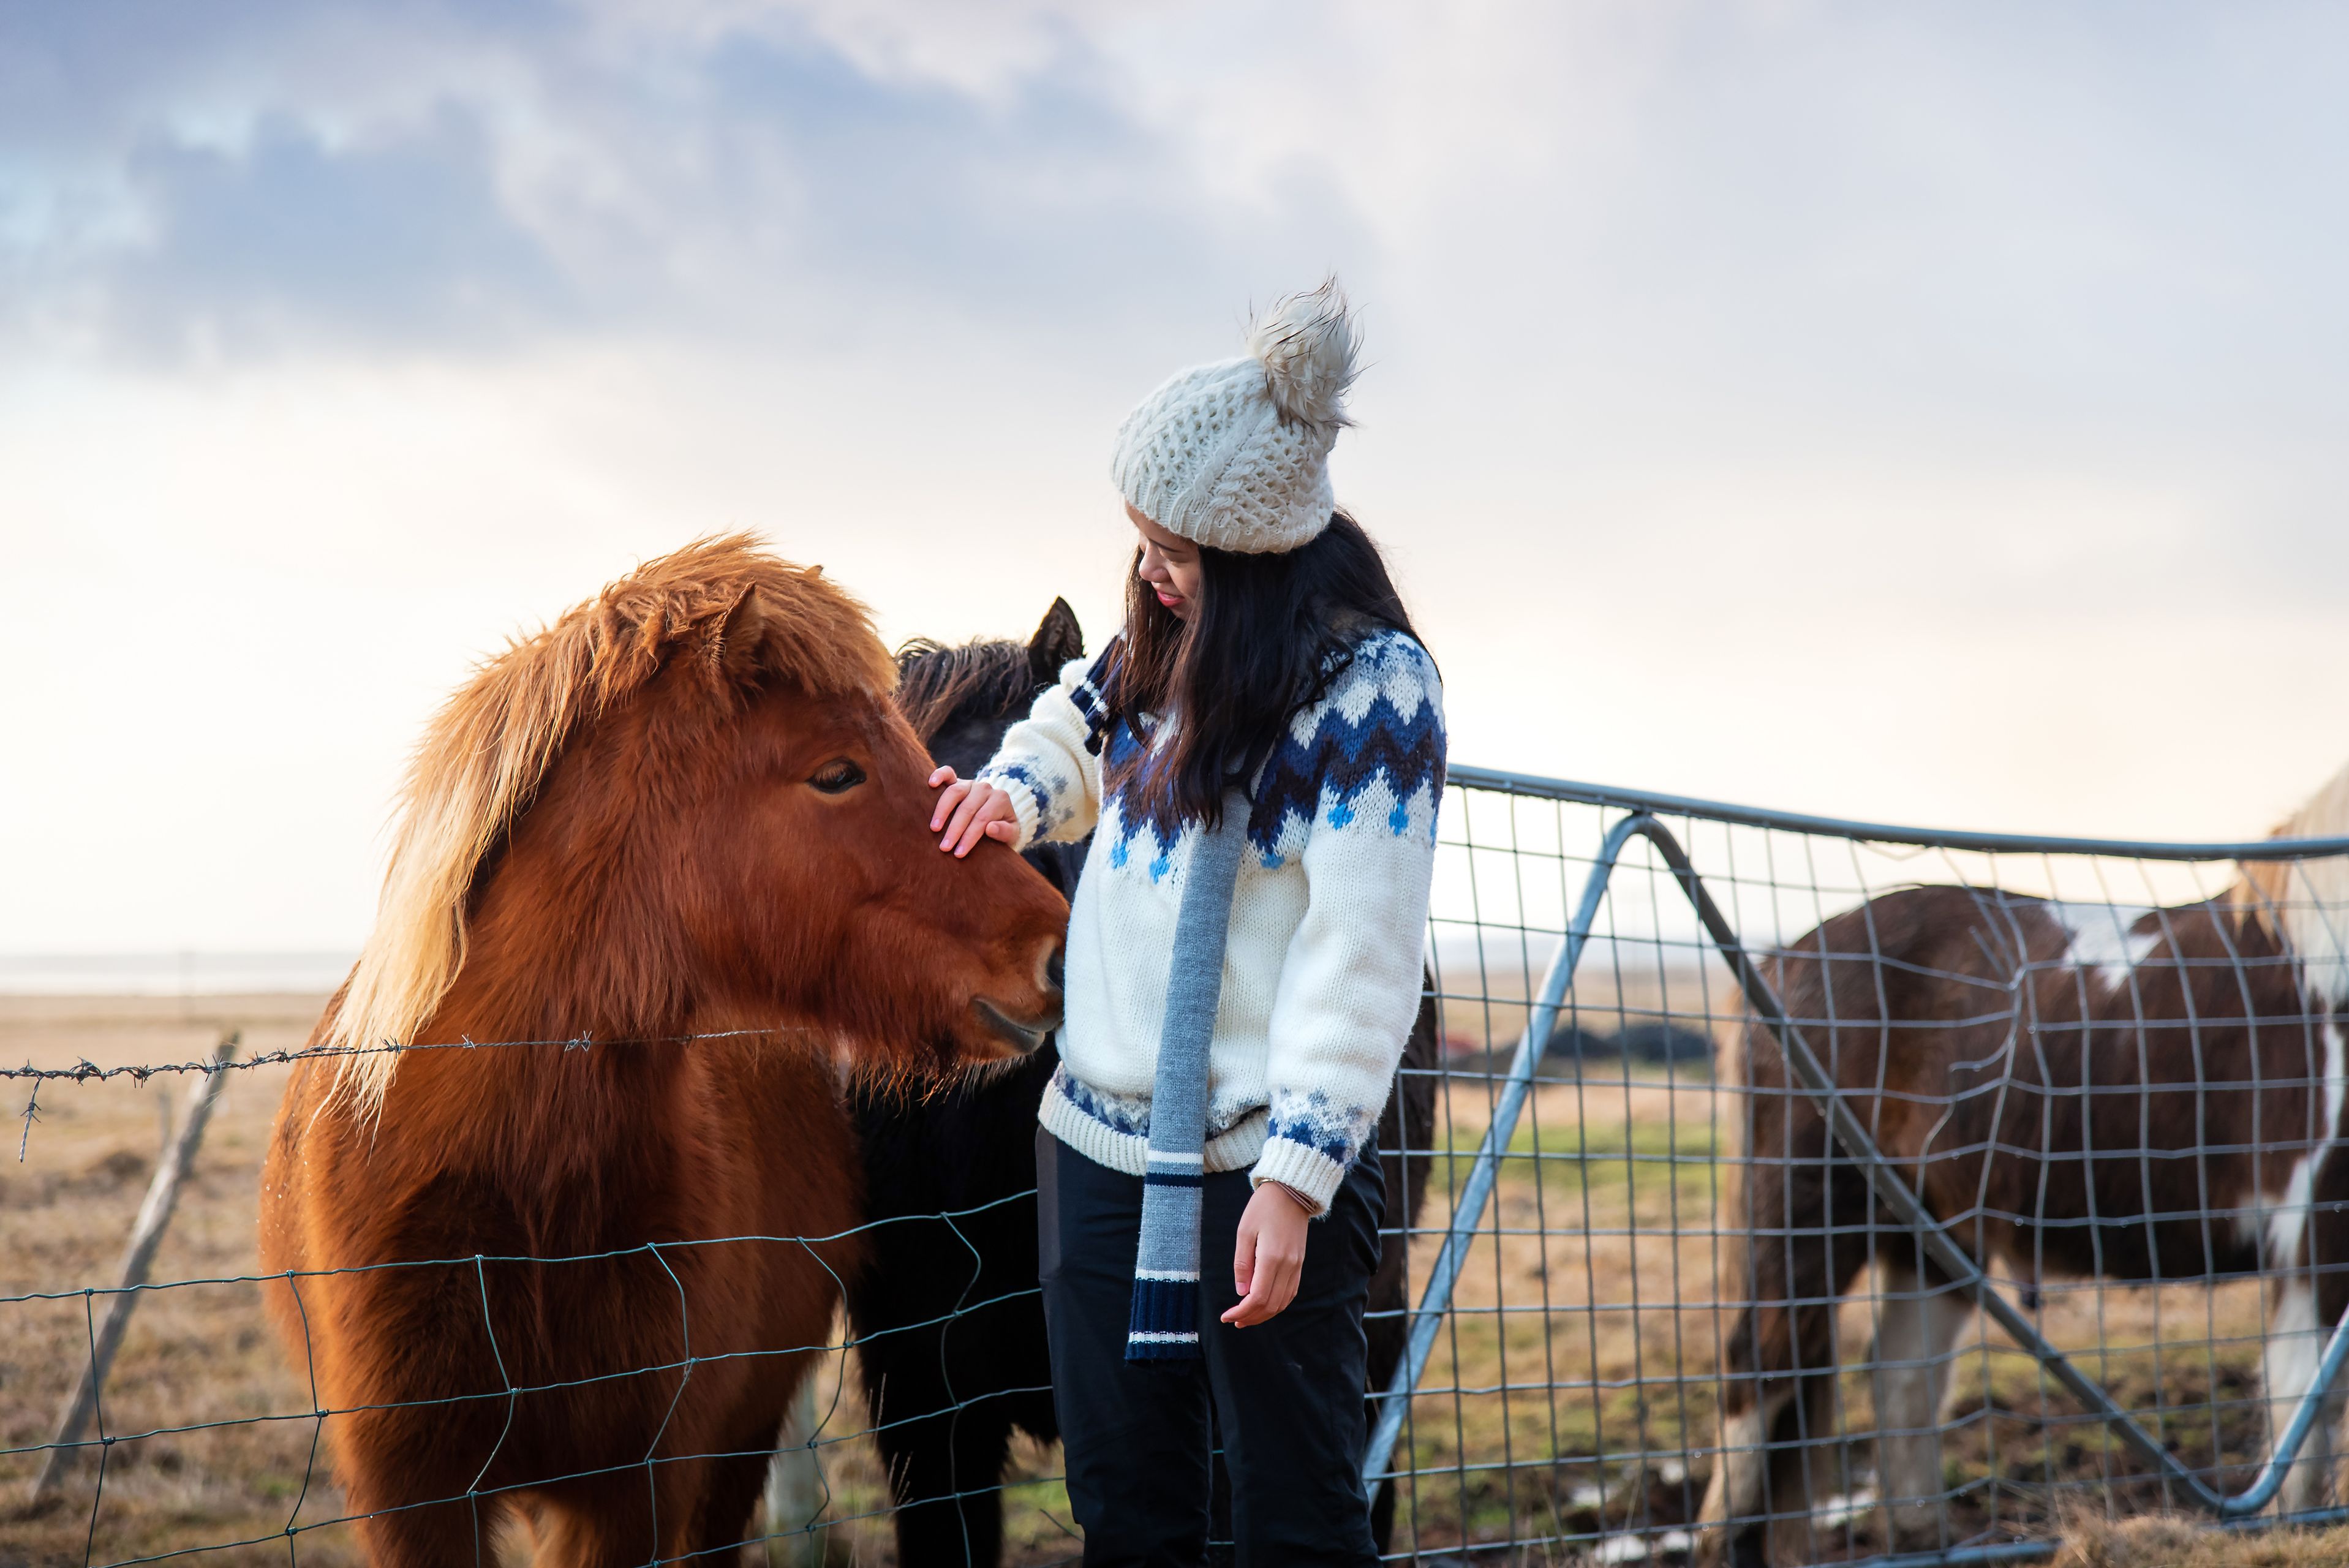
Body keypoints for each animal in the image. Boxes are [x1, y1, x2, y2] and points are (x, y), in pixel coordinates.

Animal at [1700, 765, 2349, 1558]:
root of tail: (1784, 958)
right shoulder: (2316, 1234)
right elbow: (2303, 1425)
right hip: (1805, 1219)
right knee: (1757, 1372)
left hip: (1931, 1234)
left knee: (1901, 1379)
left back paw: (1923, 1537)